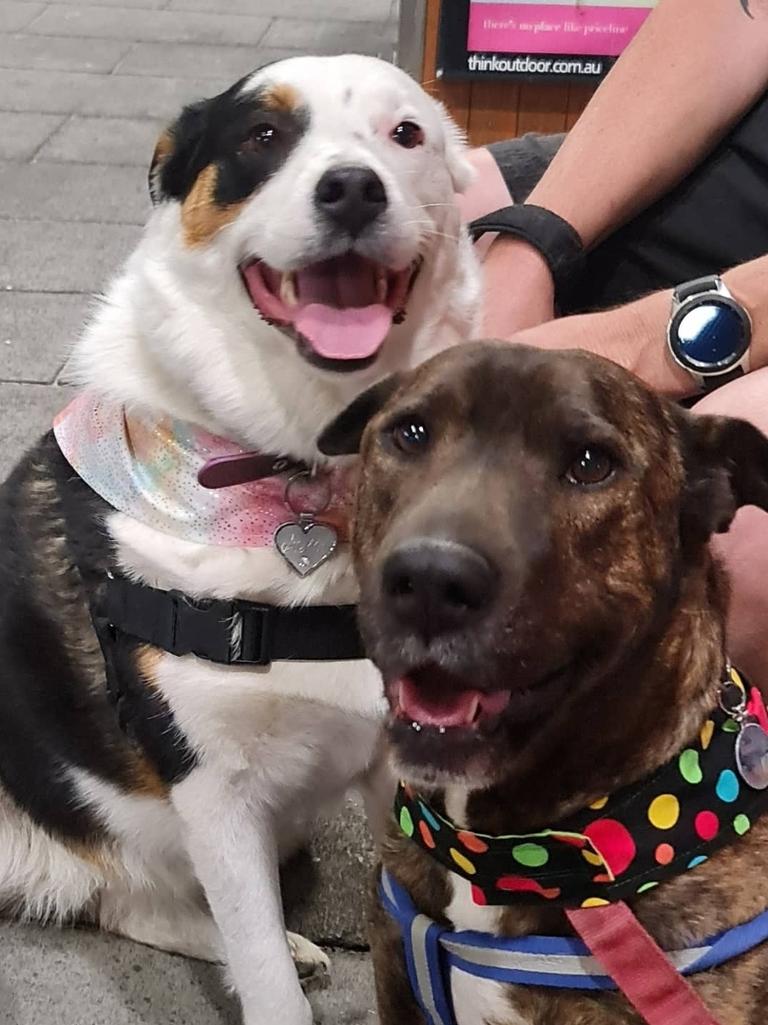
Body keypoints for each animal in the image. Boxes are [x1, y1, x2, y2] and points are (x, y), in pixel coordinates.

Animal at [0, 54, 475, 1025]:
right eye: (263, 135)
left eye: (406, 134)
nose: (352, 189)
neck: (309, 472)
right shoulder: (215, 792)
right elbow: (263, 981)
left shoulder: (402, 763)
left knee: (130, 904)